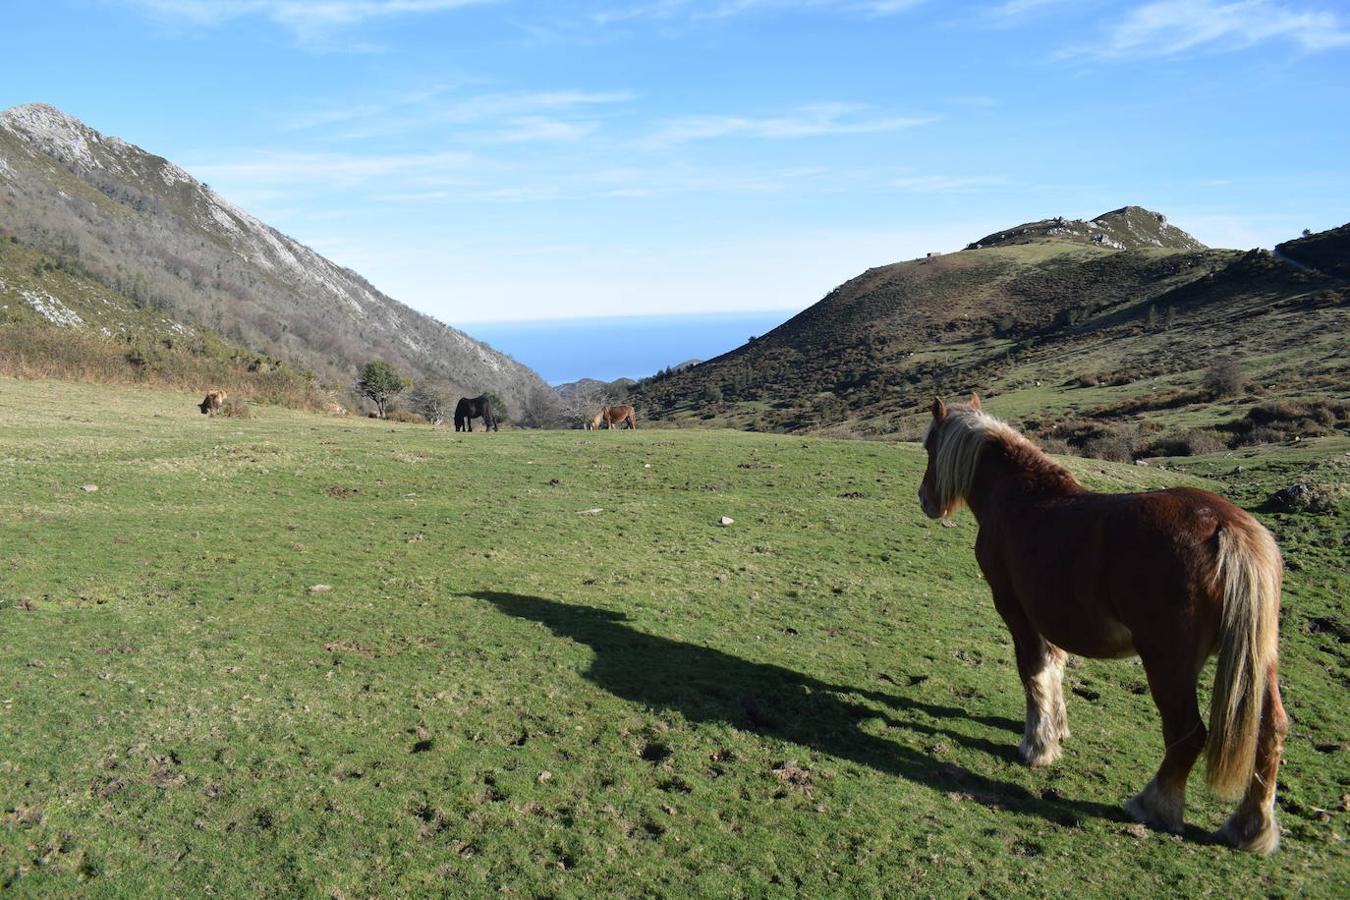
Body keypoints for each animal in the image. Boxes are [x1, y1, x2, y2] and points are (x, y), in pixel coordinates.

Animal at [918, 396, 1285, 858]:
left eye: (929, 448)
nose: (925, 500)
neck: (1017, 498)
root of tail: (1225, 527)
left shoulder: (1016, 611)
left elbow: (1032, 673)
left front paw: (1037, 746)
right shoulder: (1050, 617)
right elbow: (1053, 670)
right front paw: (1057, 730)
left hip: (1168, 663)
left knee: (1187, 734)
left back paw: (1152, 805)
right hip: (1259, 660)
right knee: (1270, 733)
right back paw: (1249, 827)